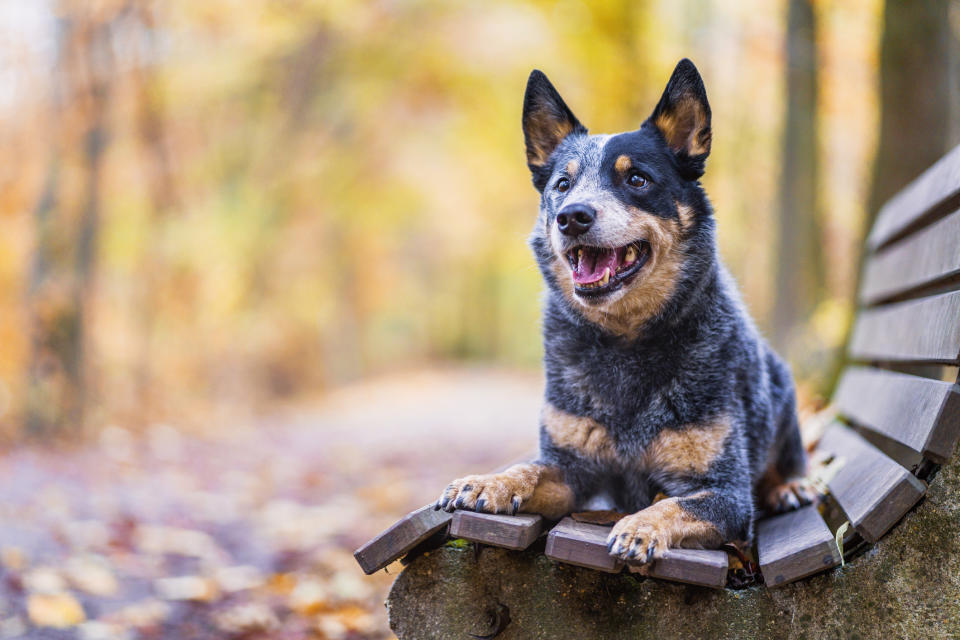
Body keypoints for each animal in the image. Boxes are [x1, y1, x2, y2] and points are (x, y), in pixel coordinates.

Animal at [436, 57, 808, 564]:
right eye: (562, 184)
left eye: (637, 179)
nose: (571, 216)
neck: (625, 342)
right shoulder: (572, 470)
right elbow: (530, 469)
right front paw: (488, 481)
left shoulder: (725, 491)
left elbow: (672, 503)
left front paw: (639, 526)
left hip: (783, 391)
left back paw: (790, 485)